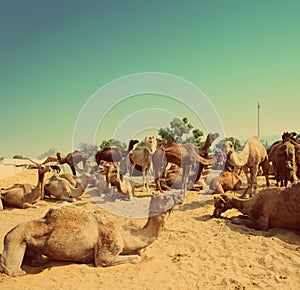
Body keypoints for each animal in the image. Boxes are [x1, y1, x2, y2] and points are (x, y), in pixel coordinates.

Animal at [0, 193, 180, 276]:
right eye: (164, 197)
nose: (177, 196)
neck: (123, 233)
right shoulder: (105, 254)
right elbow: (133, 258)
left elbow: (139, 251)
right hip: (14, 239)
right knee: (10, 269)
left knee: (37, 260)